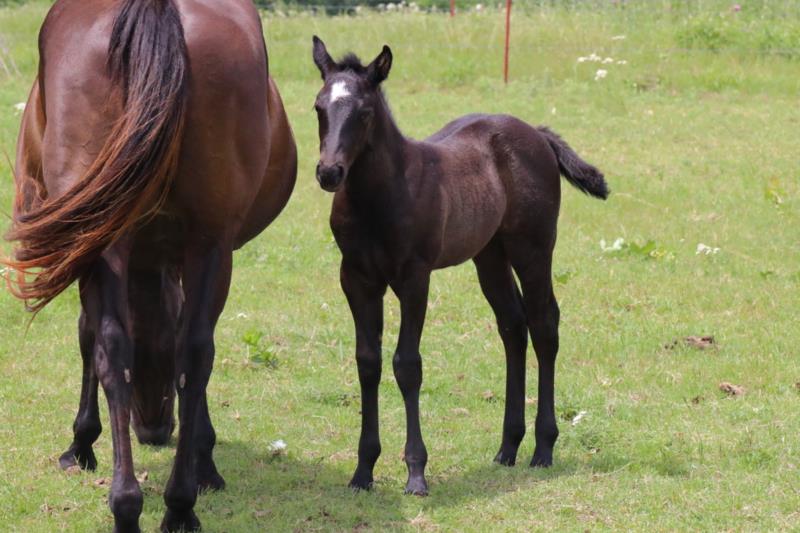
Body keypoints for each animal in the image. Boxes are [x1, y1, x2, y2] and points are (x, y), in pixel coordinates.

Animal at [4, 1, 297, 531]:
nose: (156, 430)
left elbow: (87, 335)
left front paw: (80, 444)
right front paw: (205, 461)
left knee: (116, 351)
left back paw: (133, 502)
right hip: (208, 241)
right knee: (193, 351)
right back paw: (177, 505)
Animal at [311, 37, 608, 496]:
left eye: (364, 113)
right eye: (318, 107)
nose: (329, 172)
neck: (379, 198)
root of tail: (536, 134)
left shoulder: (414, 279)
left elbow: (407, 365)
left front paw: (416, 473)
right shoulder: (357, 279)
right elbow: (367, 362)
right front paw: (363, 471)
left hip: (532, 248)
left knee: (544, 324)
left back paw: (543, 448)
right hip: (490, 255)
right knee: (513, 325)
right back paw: (508, 447)